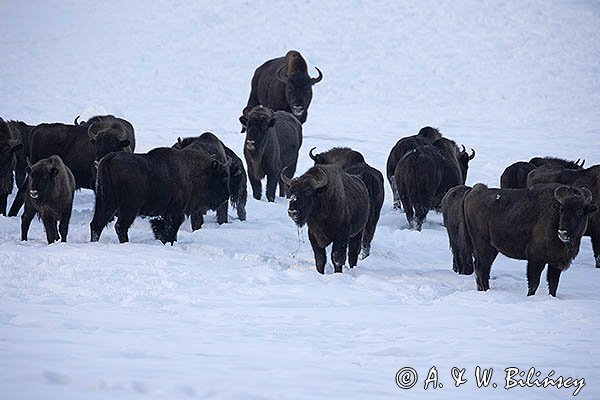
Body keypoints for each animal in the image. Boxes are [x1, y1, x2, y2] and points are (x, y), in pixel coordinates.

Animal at [90, 145, 231, 242]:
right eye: (223, 177)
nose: (226, 196)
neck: (191, 171)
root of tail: (109, 159)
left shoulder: (160, 215)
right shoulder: (175, 212)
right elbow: (170, 232)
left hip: (104, 202)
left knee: (96, 224)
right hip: (129, 208)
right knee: (120, 226)